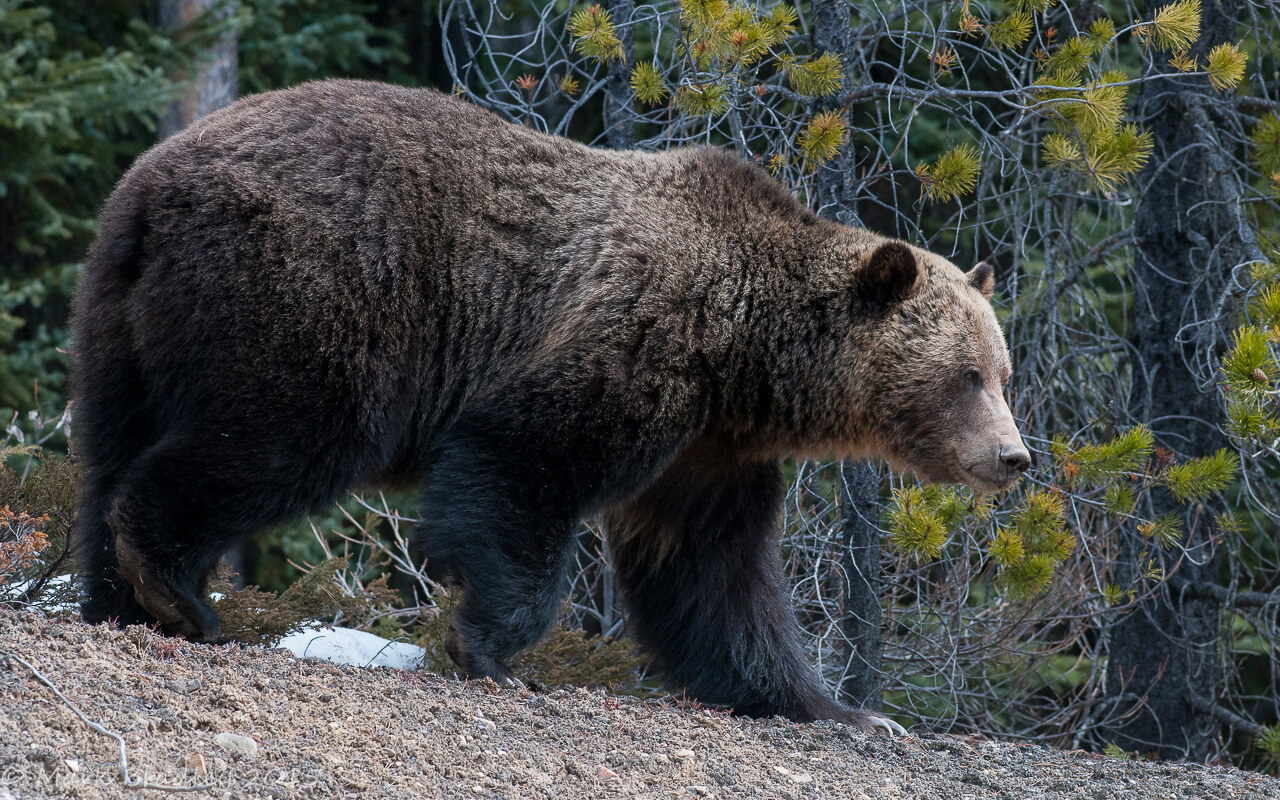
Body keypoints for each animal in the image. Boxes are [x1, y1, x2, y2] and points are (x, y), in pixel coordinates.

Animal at [70, 78, 1029, 732]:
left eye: (1003, 372)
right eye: (967, 375)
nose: (1013, 457)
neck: (744, 356)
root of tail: (152, 184)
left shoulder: (710, 451)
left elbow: (715, 576)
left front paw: (836, 706)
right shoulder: (632, 344)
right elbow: (520, 466)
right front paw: (494, 649)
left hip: (119, 319)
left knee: (111, 446)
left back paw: (119, 598)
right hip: (311, 290)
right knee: (278, 435)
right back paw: (176, 589)